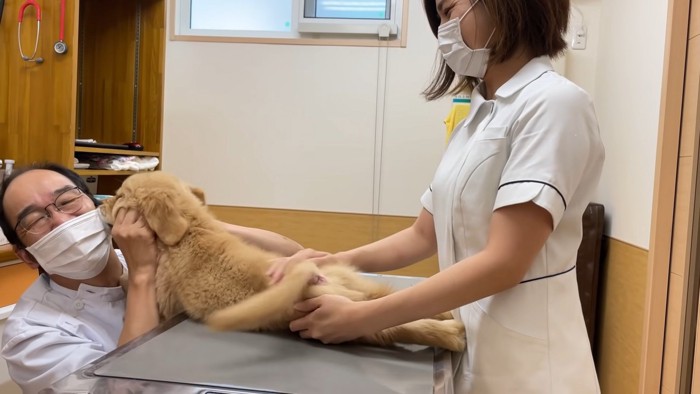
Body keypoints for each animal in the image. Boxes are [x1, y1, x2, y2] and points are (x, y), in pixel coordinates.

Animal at [98, 172, 464, 350]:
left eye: (119, 196)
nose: (100, 205)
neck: (190, 230)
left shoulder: (163, 300)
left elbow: (131, 281)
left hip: (349, 317)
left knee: (399, 325)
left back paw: (451, 335)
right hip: (357, 286)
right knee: (392, 299)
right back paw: (448, 317)